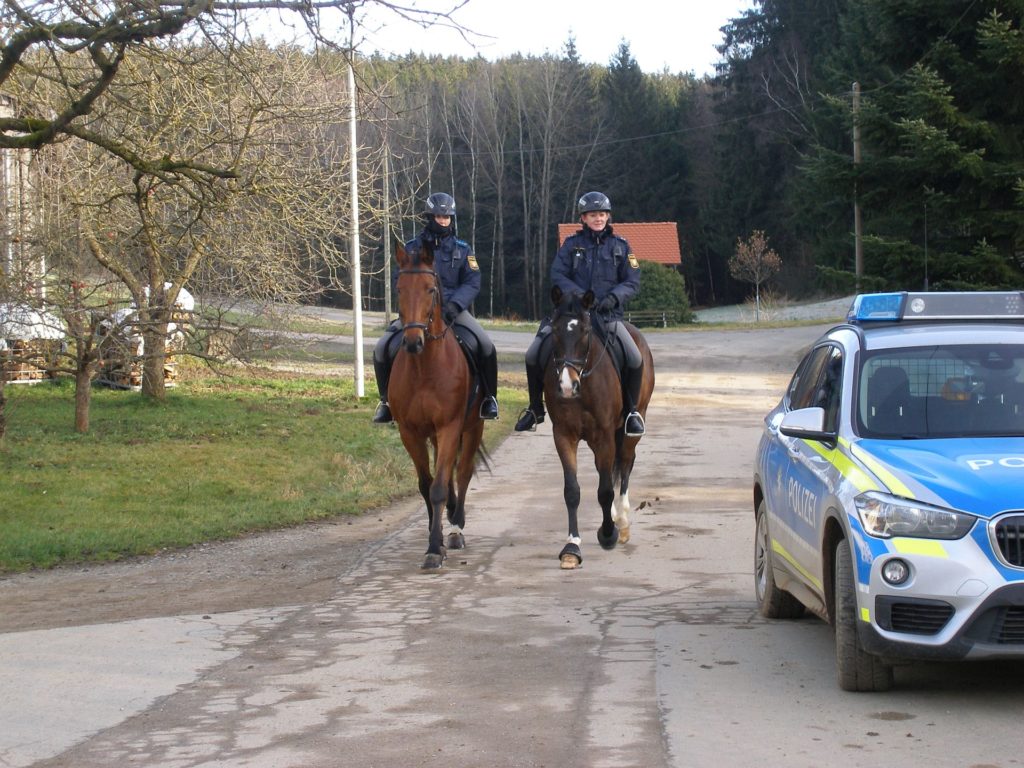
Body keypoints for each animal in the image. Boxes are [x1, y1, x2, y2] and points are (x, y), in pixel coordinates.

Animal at [389, 240, 489, 573]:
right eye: (399, 288)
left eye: (431, 288)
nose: (412, 342)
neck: (425, 368)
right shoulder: (411, 432)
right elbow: (427, 484)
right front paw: (435, 541)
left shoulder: (450, 427)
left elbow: (439, 488)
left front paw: (436, 547)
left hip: (472, 427)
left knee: (463, 472)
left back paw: (456, 528)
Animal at [544, 288, 655, 573]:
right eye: (555, 330)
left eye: (584, 330)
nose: (567, 386)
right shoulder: (563, 435)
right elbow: (572, 491)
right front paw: (571, 548)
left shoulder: (605, 436)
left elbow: (605, 490)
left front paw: (608, 534)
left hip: (628, 430)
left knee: (625, 464)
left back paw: (622, 522)